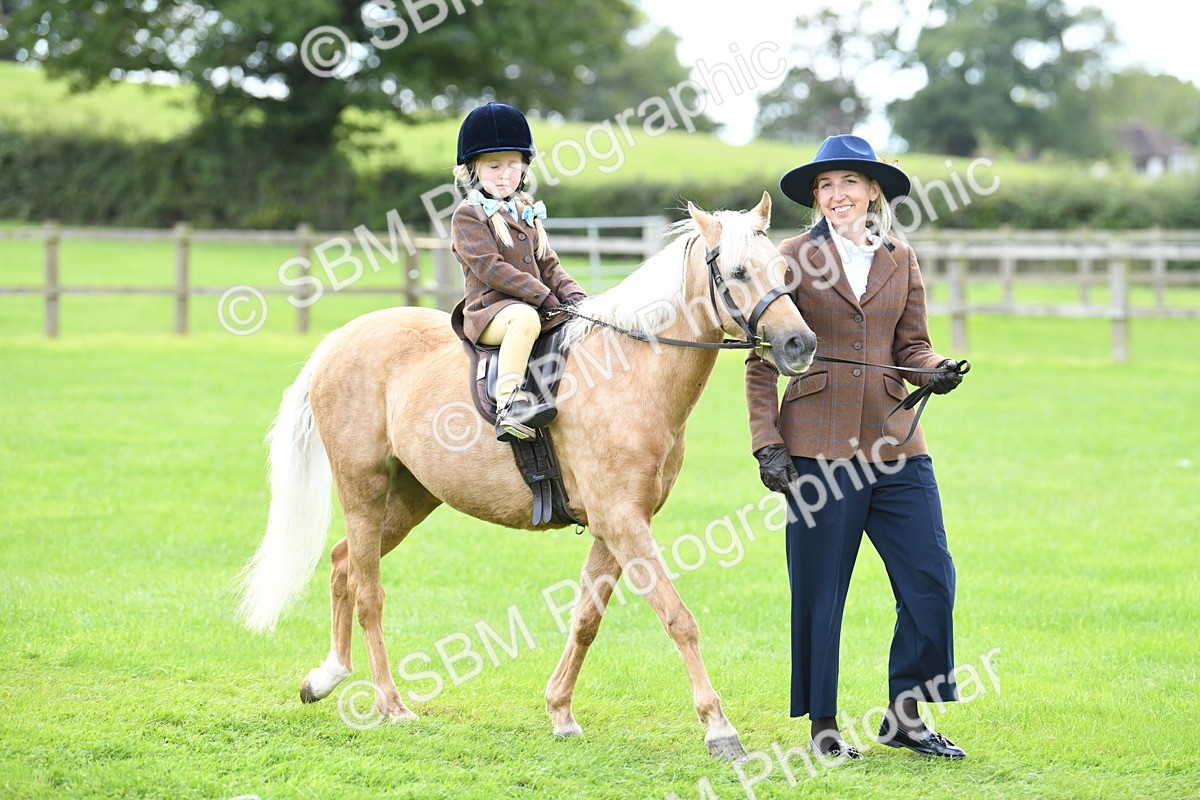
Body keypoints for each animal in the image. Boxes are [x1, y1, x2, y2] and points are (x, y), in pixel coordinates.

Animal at [236, 192, 817, 759]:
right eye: (738, 272)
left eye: (783, 269)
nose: (800, 345)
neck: (628, 373)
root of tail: (340, 340)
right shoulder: (624, 522)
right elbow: (678, 618)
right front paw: (719, 727)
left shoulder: (616, 525)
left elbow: (585, 620)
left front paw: (560, 712)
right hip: (363, 487)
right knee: (369, 592)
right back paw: (390, 703)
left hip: (409, 497)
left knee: (343, 565)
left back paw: (326, 678)